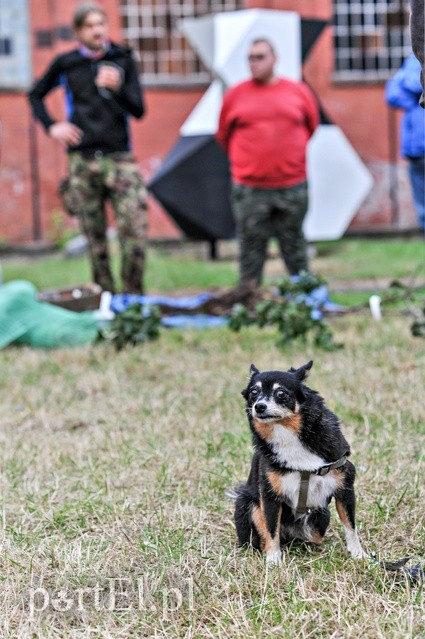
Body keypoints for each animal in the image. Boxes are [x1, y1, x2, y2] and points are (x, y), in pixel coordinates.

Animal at [234, 360, 362, 564]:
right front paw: (273, 559)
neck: (287, 433)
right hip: (248, 504)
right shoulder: (269, 495)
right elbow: (271, 529)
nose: (259, 406)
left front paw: (359, 555)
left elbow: (350, 526)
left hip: (322, 517)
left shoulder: (345, 489)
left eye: (281, 393)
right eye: (254, 392)